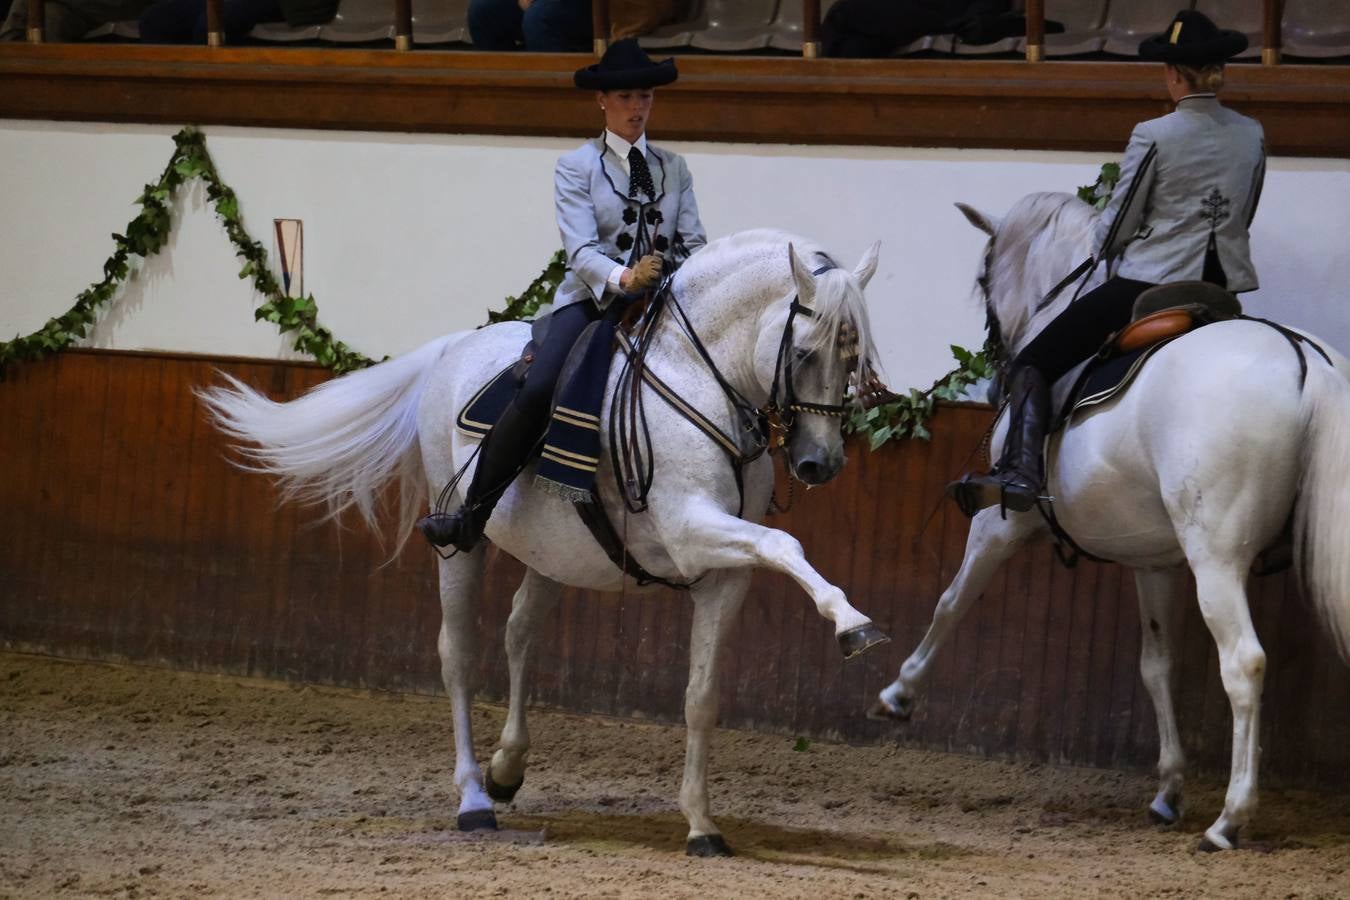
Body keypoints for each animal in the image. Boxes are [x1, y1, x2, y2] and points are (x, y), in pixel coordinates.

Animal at [199, 229, 891, 858]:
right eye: (803, 353)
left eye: (854, 358)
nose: (820, 464)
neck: (696, 380)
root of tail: (456, 345)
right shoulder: (692, 531)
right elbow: (785, 545)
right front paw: (854, 624)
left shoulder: (724, 577)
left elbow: (702, 697)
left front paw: (701, 824)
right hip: (461, 545)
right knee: (458, 655)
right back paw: (475, 799)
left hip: (558, 553)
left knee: (519, 632)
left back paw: (508, 768)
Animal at [869, 194, 1350, 858]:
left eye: (983, 278)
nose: (993, 374)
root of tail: (1306, 360)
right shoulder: (1153, 562)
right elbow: (1157, 664)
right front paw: (1169, 788)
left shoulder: (1003, 522)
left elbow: (951, 600)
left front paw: (900, 692)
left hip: (1216, 559)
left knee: (1244, 663)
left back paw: (1229, 820)